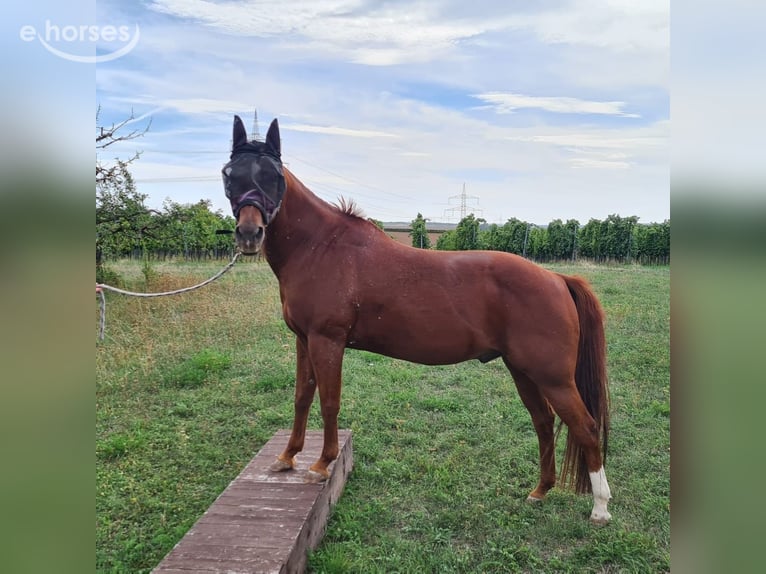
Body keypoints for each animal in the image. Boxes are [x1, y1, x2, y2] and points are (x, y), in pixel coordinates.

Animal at [221, 115, 612, 524]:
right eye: (229, 173)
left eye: (273, 175)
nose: (249, 234)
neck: (321, 247)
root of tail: (557, 279)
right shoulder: (304, 340)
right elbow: (301, 397)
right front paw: (286, 458)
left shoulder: (327, 341)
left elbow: (329, 401)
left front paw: (321, 464)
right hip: (523, 371)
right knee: (544, 422)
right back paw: (540, 491)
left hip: (553, 377)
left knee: (585, 427)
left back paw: (600, 508)